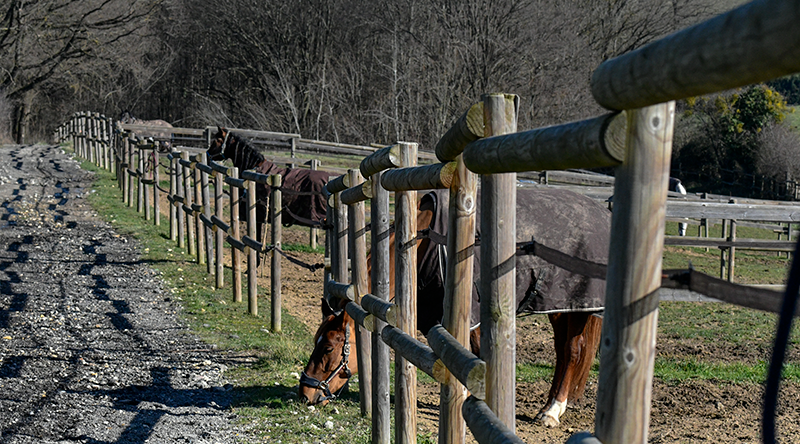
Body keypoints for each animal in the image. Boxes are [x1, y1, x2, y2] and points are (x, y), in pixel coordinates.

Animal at [298, 187, 608, 426]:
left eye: (329, 348)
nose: (305, 393)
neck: (425, 241)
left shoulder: (473, 317)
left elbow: (474, 354)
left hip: (577, 306)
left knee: (573, 350)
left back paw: (552, 411)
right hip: (558, 308)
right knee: (562, 352)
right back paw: (549, 406)